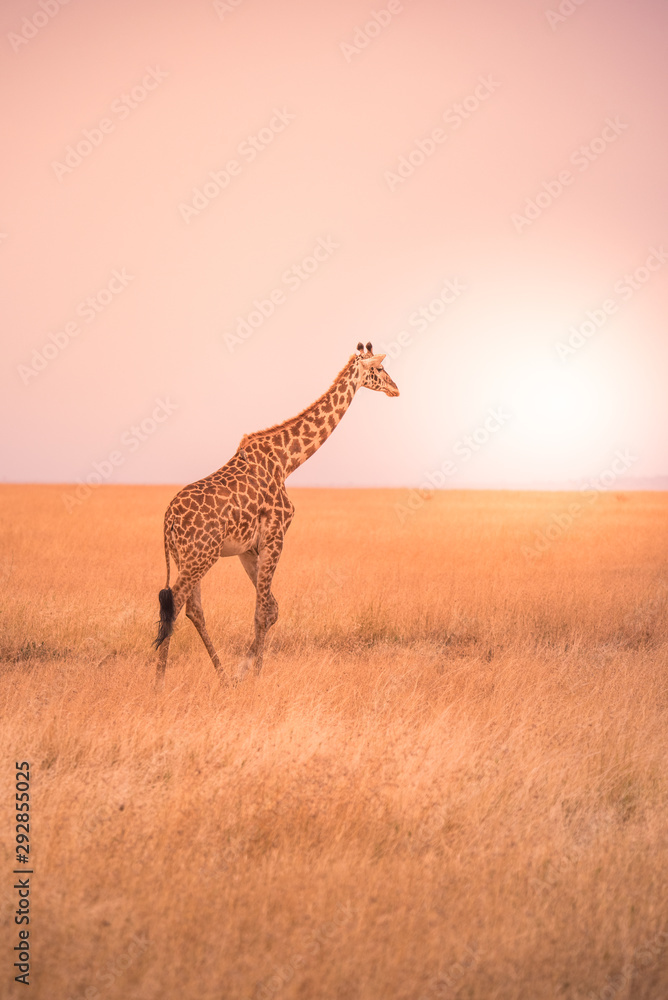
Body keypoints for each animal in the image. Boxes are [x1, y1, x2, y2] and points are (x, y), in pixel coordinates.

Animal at [153, 342, 399, 685]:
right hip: (201, 556)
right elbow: (262, 610)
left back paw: (221, 676)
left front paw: (245, 672)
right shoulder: (275, 535)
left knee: (192, 608)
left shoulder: (249, 547)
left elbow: (270, 607)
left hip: (186, 557)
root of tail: (169, 519)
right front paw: (253, 675)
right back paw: (160, 682)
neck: (287, 460)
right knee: (174, 603)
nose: (396, 388)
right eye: (379, 369)